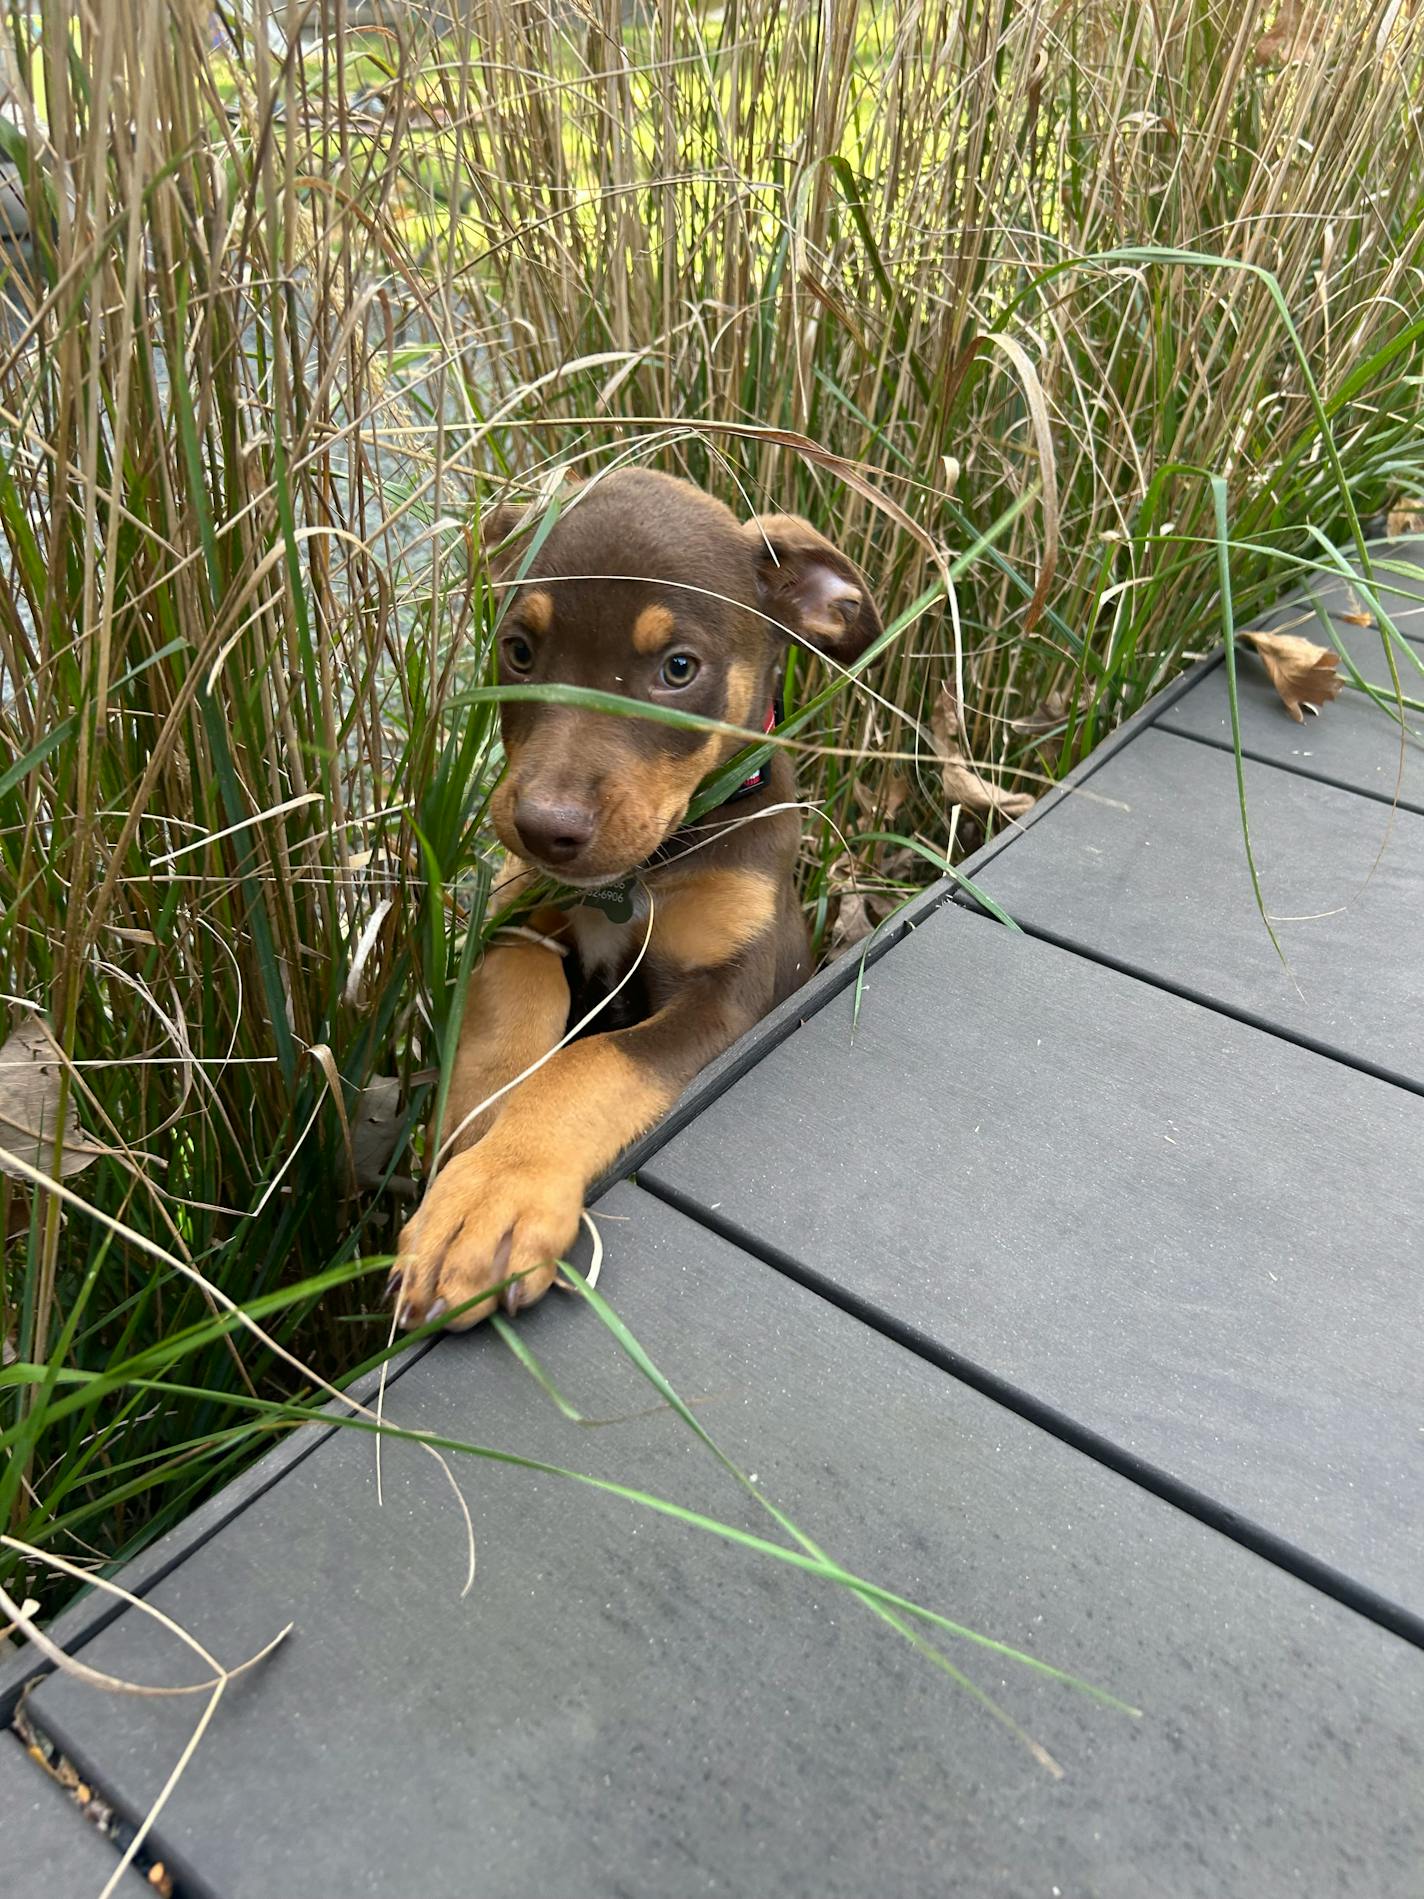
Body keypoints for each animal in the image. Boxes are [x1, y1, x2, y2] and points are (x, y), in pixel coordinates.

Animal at [391, 472, 880, 1329]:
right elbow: (517, 988)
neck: (652, 868)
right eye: (519, 651)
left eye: (678, 668)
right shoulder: (516, 916)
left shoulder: (728, 994)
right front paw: (480, 1113)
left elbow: (593, 1062)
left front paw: (490, 1194)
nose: (543, 828)